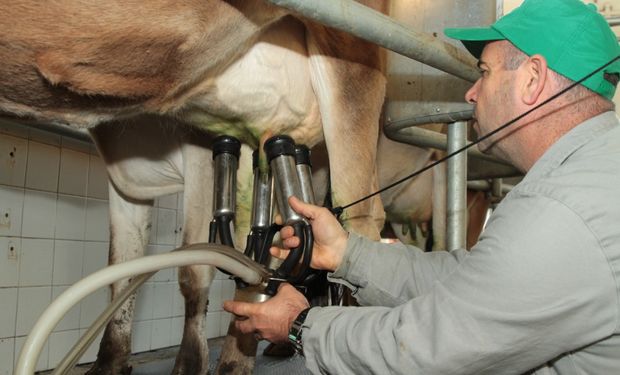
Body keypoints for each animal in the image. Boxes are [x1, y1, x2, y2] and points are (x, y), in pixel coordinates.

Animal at [0, 0, 388, 375]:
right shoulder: (124, 164)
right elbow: (122, 266)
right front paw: (109, 362)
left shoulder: (201, 141)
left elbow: (194, 267)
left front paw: (191, 362)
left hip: (350, 68)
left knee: (362, 216)